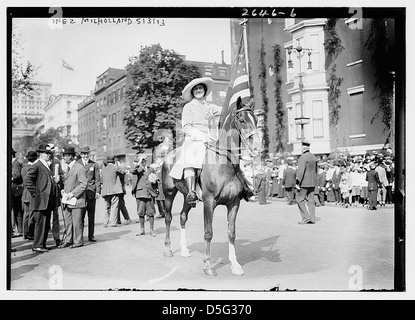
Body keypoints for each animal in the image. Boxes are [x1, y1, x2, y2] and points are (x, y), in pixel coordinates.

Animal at [162, 95, 262, 276]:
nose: (257, 146)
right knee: (168, 218)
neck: (224, 164)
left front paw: (235, 265)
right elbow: (208, 233)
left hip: (188, 198)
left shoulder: (234, 204)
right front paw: (208, 264)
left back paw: (184, 250)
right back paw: (168, 249)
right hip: (168, 194)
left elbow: (231, 233)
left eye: (256, 120)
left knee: (182, 216)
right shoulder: (209, 203)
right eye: (242, 120)